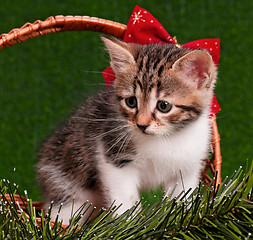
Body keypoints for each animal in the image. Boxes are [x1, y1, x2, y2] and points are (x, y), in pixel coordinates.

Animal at [37, 36, 217, 223]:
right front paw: (130, 223)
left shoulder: (188, 167)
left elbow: (182, 197)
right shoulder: (112, 156)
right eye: (131, 101)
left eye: (164, 106)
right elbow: (124, 199)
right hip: (66, 185)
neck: (166, 138)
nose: (141, 124)